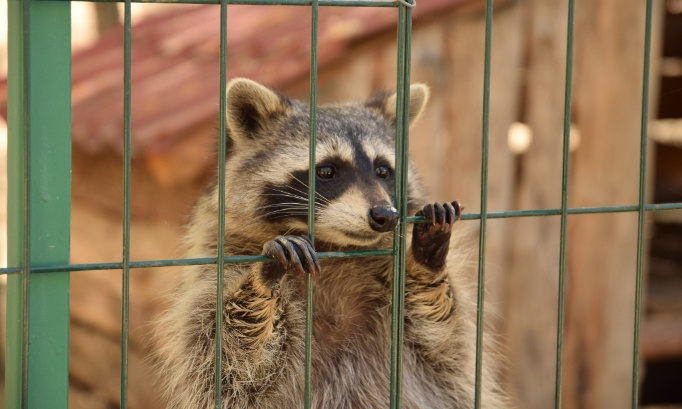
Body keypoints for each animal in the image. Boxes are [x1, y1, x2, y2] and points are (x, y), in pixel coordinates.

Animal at [155, 78, 507, 408]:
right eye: (327, 170)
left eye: (383, 170)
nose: (385, 215)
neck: (334, 248)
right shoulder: (215, 268)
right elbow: (234, 355)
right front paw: (263, 277)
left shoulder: (431, 351)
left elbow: (441, 336)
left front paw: (426, 258)